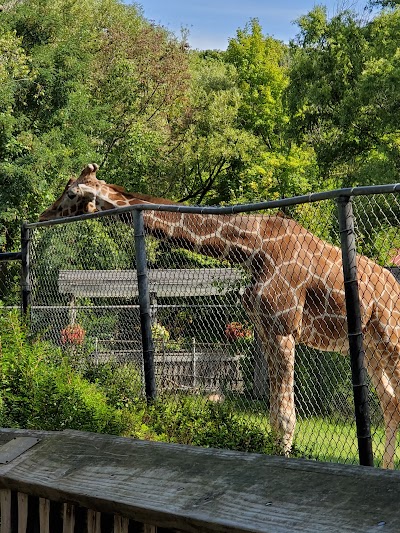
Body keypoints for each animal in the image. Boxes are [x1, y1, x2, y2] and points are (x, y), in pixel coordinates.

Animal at [39, 162, 400, 466]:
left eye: (71, 193)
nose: (43, 216)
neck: (252, 248)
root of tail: (394, 287)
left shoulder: (284, 328)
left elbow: (286, 417)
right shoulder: (265, 330)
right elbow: (274, 415)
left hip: (390, 338)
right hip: (371, 348)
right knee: (391, 403)